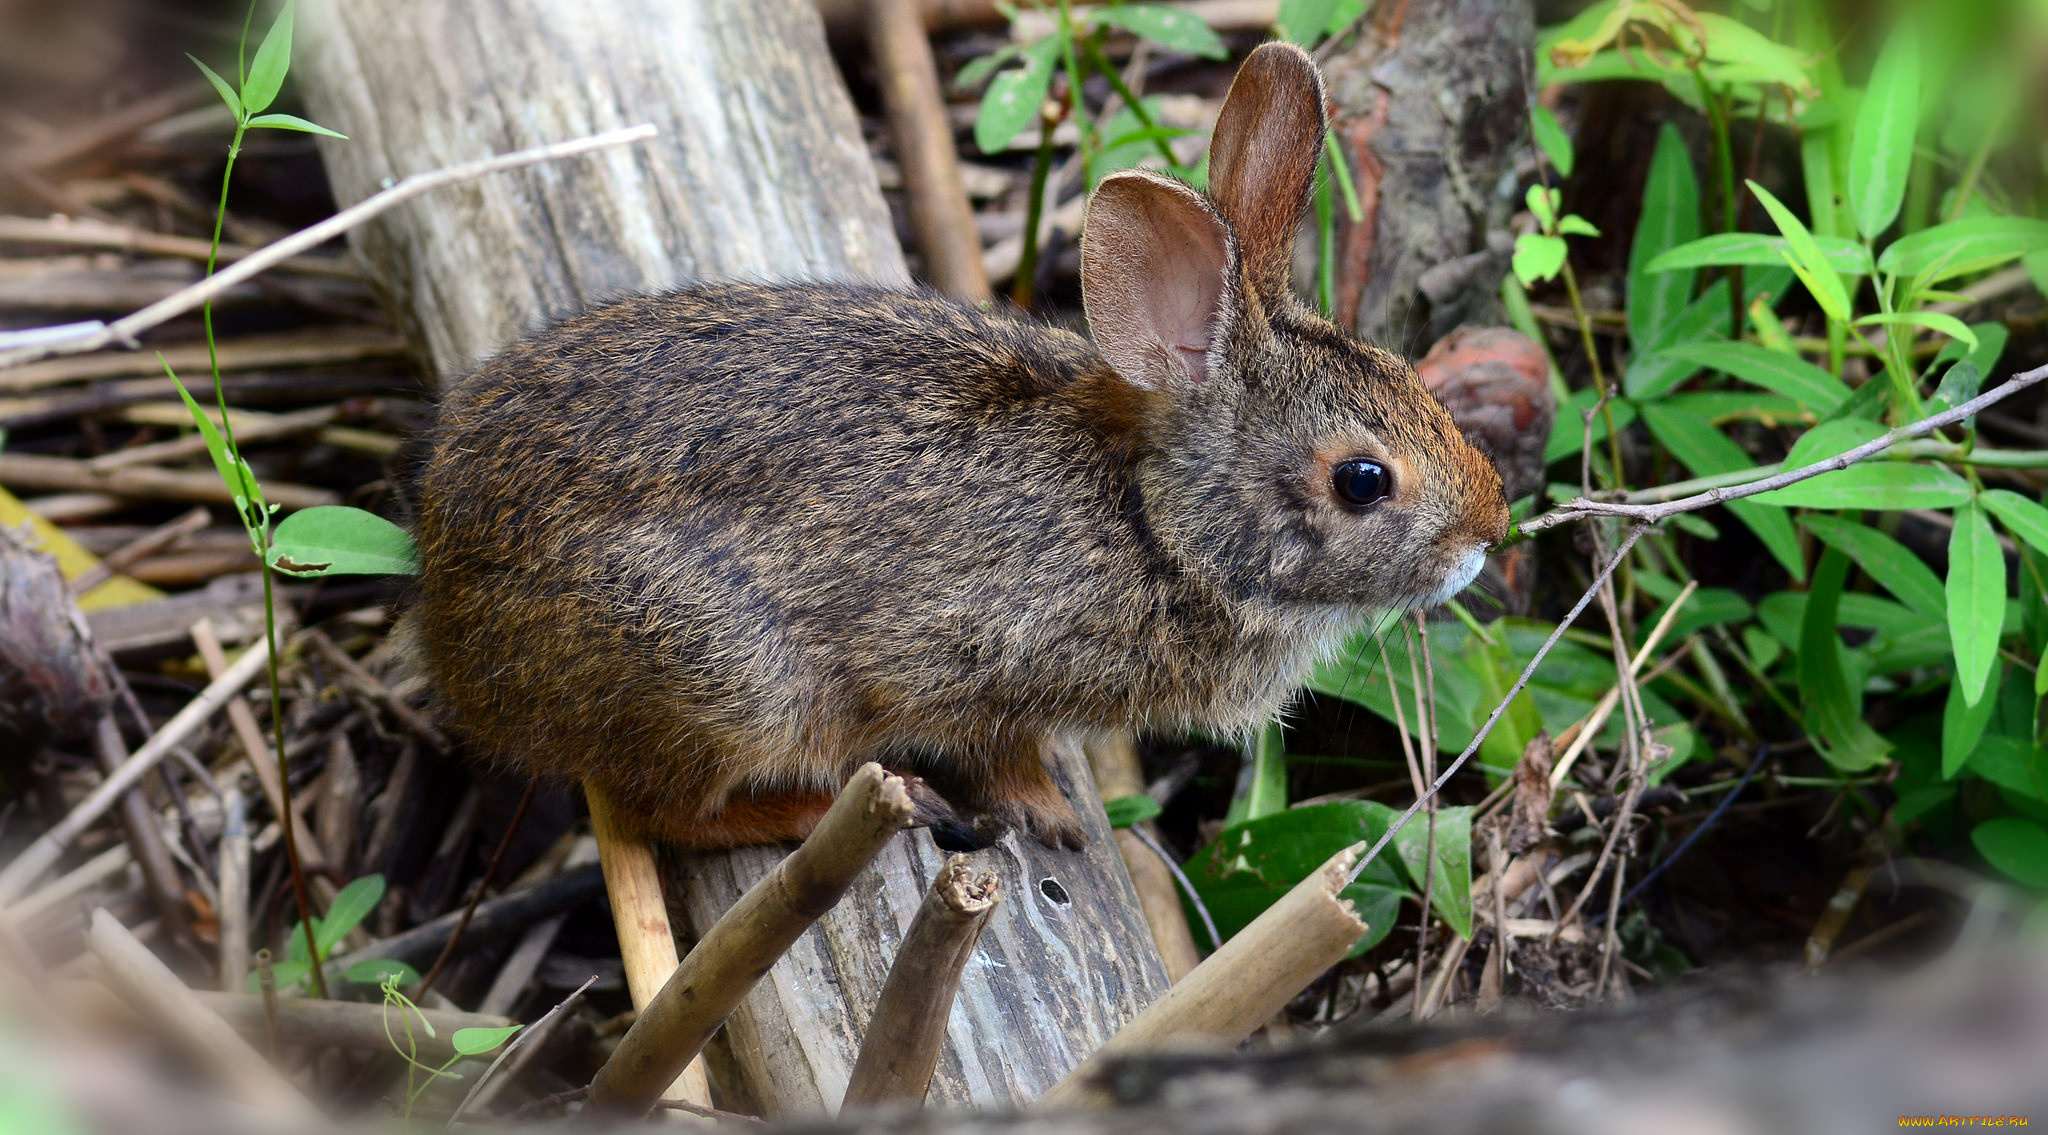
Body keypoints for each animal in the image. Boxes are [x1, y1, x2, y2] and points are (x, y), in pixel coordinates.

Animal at [411, 44, 1507, 848]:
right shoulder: (976, 668)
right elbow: (997, 752)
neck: (1154, 521)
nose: (1489, 530)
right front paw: (1053, 817)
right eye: (1361, 480)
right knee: (661, 815)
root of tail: (453, 630)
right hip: (727, 677)